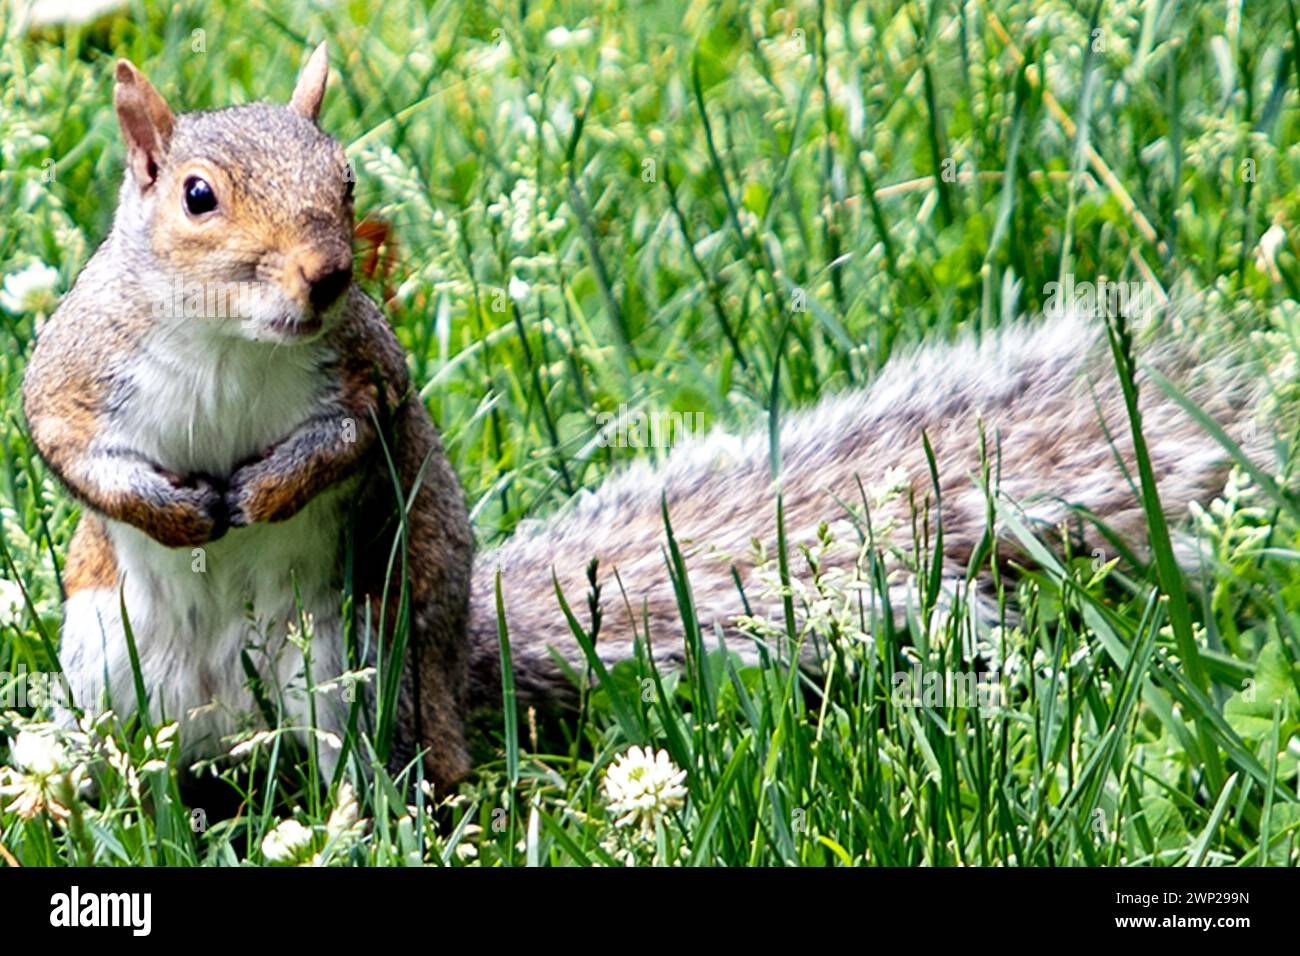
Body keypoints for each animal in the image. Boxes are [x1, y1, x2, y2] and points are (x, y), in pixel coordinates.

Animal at [25, 42, 1274, 790]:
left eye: (345, 182)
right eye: (198, 196)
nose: (329, 275)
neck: (234, 344)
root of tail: (234, 740)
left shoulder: (365, 376)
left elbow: (343, 440)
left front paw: (266, 486)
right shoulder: (80, 367)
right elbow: (69, 448)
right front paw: (172, 510)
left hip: (343, 668)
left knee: (347, 774)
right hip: (112, 663)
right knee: (145, 764)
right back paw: (85, 792)